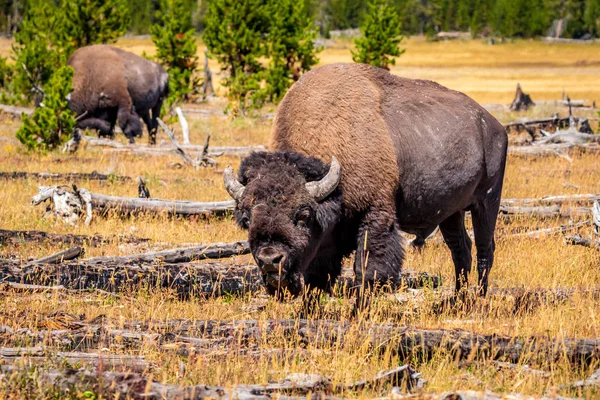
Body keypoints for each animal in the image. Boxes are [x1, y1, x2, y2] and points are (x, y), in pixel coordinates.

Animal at [225, 61, 506, 306]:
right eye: (247, 219)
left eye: (302, 215)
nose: (270, 260)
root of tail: (494, 125)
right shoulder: (327, 238)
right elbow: (317, 276)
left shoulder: (375, 215)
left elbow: (366, 270)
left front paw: (358, 310)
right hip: (451, 213)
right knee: (461, 249)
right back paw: (458, 299)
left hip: (487, 201)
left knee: (484, 249)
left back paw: (479, 298)